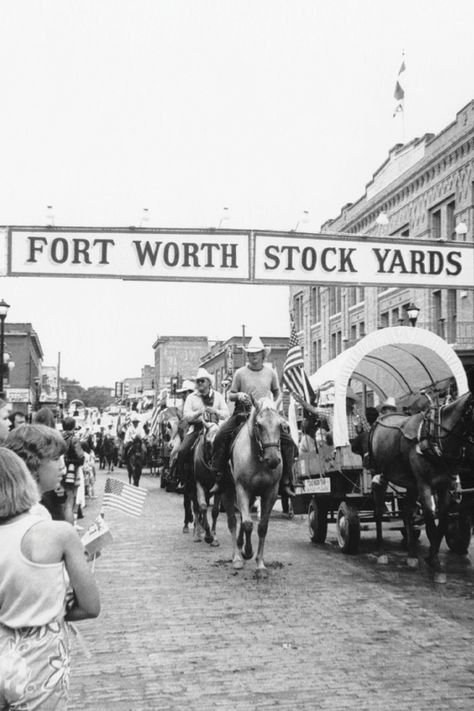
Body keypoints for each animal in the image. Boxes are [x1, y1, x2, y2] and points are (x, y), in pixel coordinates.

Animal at [221, 394, 284, 580]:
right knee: (233, 522)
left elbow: (262, 527)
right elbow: (248, 524)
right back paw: (237, 556)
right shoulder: (242, 488)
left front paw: (260, 565)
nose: (273, 460)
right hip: (228, 491)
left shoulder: (270, 492)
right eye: (259, 425)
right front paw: (247, 552)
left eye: (281, 425)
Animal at [370, 390, 474, 584]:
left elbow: (442, 522)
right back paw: (381, 552)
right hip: (380, 476)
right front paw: (436, 565)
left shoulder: (444, 486)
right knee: (379, 512)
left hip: (411, 485)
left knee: (407, 513)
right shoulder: (425, 485)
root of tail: (383, 417)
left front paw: (431, 558)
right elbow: (431, 523)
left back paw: (411, 555)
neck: (433, 437)